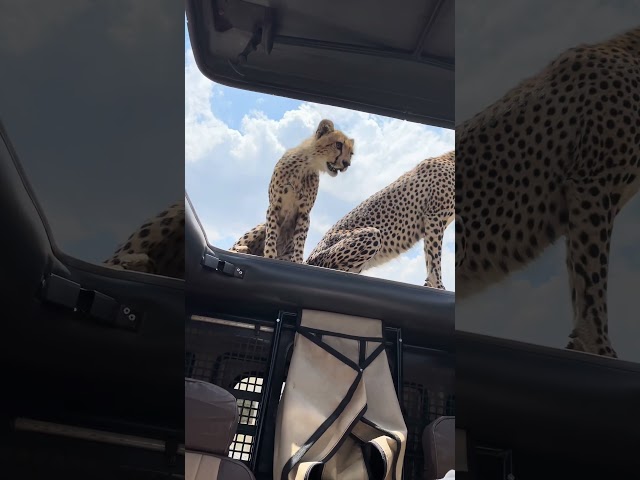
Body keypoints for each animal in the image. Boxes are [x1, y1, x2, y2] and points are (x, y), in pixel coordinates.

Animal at [230, 119, 356, 262]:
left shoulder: (304, 213)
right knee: (234, 246)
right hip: (261, 226)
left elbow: (300, 240)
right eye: (338, 145)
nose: (347, 164)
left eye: (351, 154)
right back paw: (242, 249)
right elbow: (272, 233)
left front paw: (297, 260)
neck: (306, 165)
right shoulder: (274, 206)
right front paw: (270, 255)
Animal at [456, 26, 640, 356]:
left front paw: (581, 343)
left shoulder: (582, 199)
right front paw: (599, 346)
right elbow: (593, 276)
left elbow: (578, 275)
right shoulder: (592, 183)